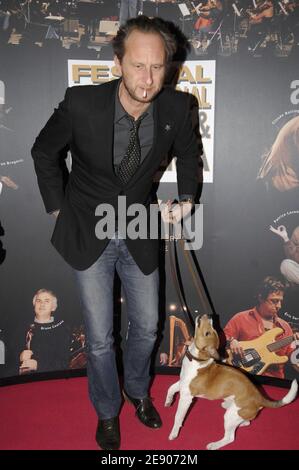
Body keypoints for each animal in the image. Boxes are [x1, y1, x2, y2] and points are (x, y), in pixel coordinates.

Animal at [165, 314, 298, 450]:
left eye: (208, 333)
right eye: (212, 330)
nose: (208, 315)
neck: (197, 359)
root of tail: (260, 399)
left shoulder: (186, 398)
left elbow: (178, 417)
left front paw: (174, 433)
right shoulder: (182, 383)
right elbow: (170, 388)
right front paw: (168, 401)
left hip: (229, 417)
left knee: (230, 438)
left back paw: (215, 444)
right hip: (235, 413)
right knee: (247, 422)